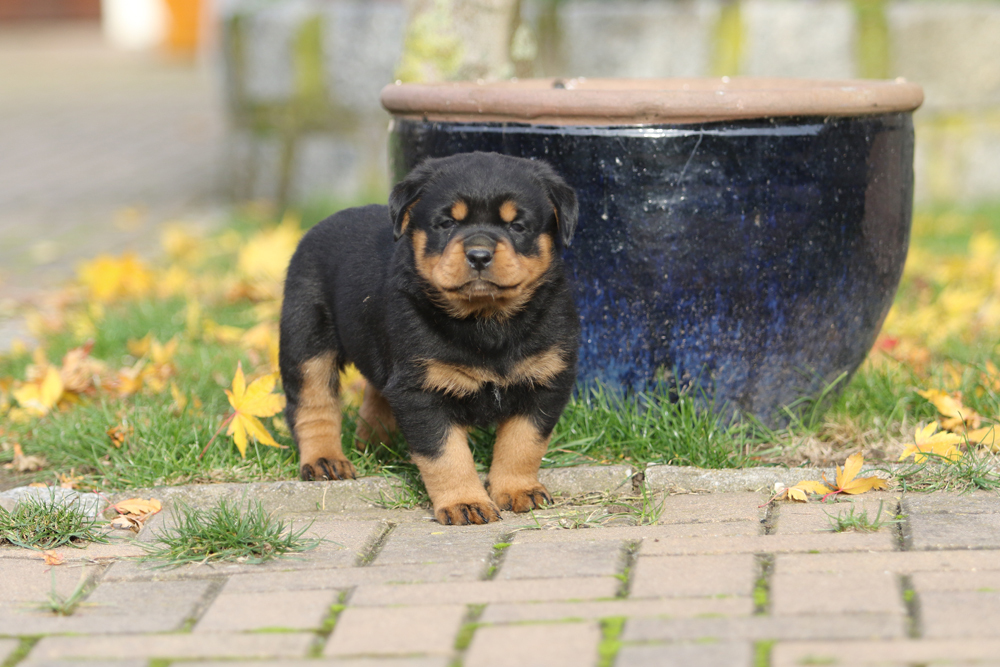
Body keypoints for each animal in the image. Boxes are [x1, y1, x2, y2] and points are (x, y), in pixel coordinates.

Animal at [279, 151, 580, 525]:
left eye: (517, 226)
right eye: (446, 223)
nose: (479, 255)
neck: (487, 320)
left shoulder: (546, 377)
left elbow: (524, 442)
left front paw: (517, 489)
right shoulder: (421, 391)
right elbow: (445, 454)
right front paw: (465, 503)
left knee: (377, 388)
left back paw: (377, 442)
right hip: (305, 335)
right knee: (312, 400)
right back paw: (324, 460)